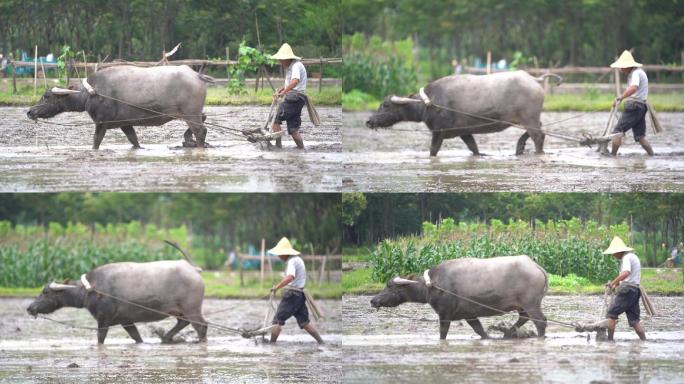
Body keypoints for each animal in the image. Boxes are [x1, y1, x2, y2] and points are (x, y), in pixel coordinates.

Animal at [26, 65, 214, 149]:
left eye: (47, 96)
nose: (30, 111)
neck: (91, 92)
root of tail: (196, 75)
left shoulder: (101, 123)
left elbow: (96, 142)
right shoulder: (125, 124)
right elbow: (134, 141)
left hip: (191, 114)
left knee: (201, 131)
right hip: (193, 114)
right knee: (203, 121)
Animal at [26, 260, 207, 344]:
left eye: (45, 292)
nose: (30, 308)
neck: (91, 289)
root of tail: (193, 270)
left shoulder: (103, 319)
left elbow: (100, 338)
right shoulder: (126, 321)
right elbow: (136, 337)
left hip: (192, 309)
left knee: (201, 326)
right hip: (180, 311)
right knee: (182, 322)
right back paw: (166, 338)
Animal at [366, 71, 560, 155]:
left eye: (385, 105)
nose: (369, 121)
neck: (430, 102)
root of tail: (534, 78)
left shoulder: (439, 132)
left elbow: (433, 151)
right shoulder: (464, 132)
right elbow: (473, 148)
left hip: (529, 118)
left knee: (538, 136)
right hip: (528, 119)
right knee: (539, 130)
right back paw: (519, 148)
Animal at [372, 255, 548, 340]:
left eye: (389, 286)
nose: (373, 300)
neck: (433, 284)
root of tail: (536, 266)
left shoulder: (445, 313)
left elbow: (443, 333)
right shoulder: (469, 315)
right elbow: (479, 330)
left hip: (531, 304)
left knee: (540, 321)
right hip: (523, 305)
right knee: (524, 317)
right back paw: (508, 333)